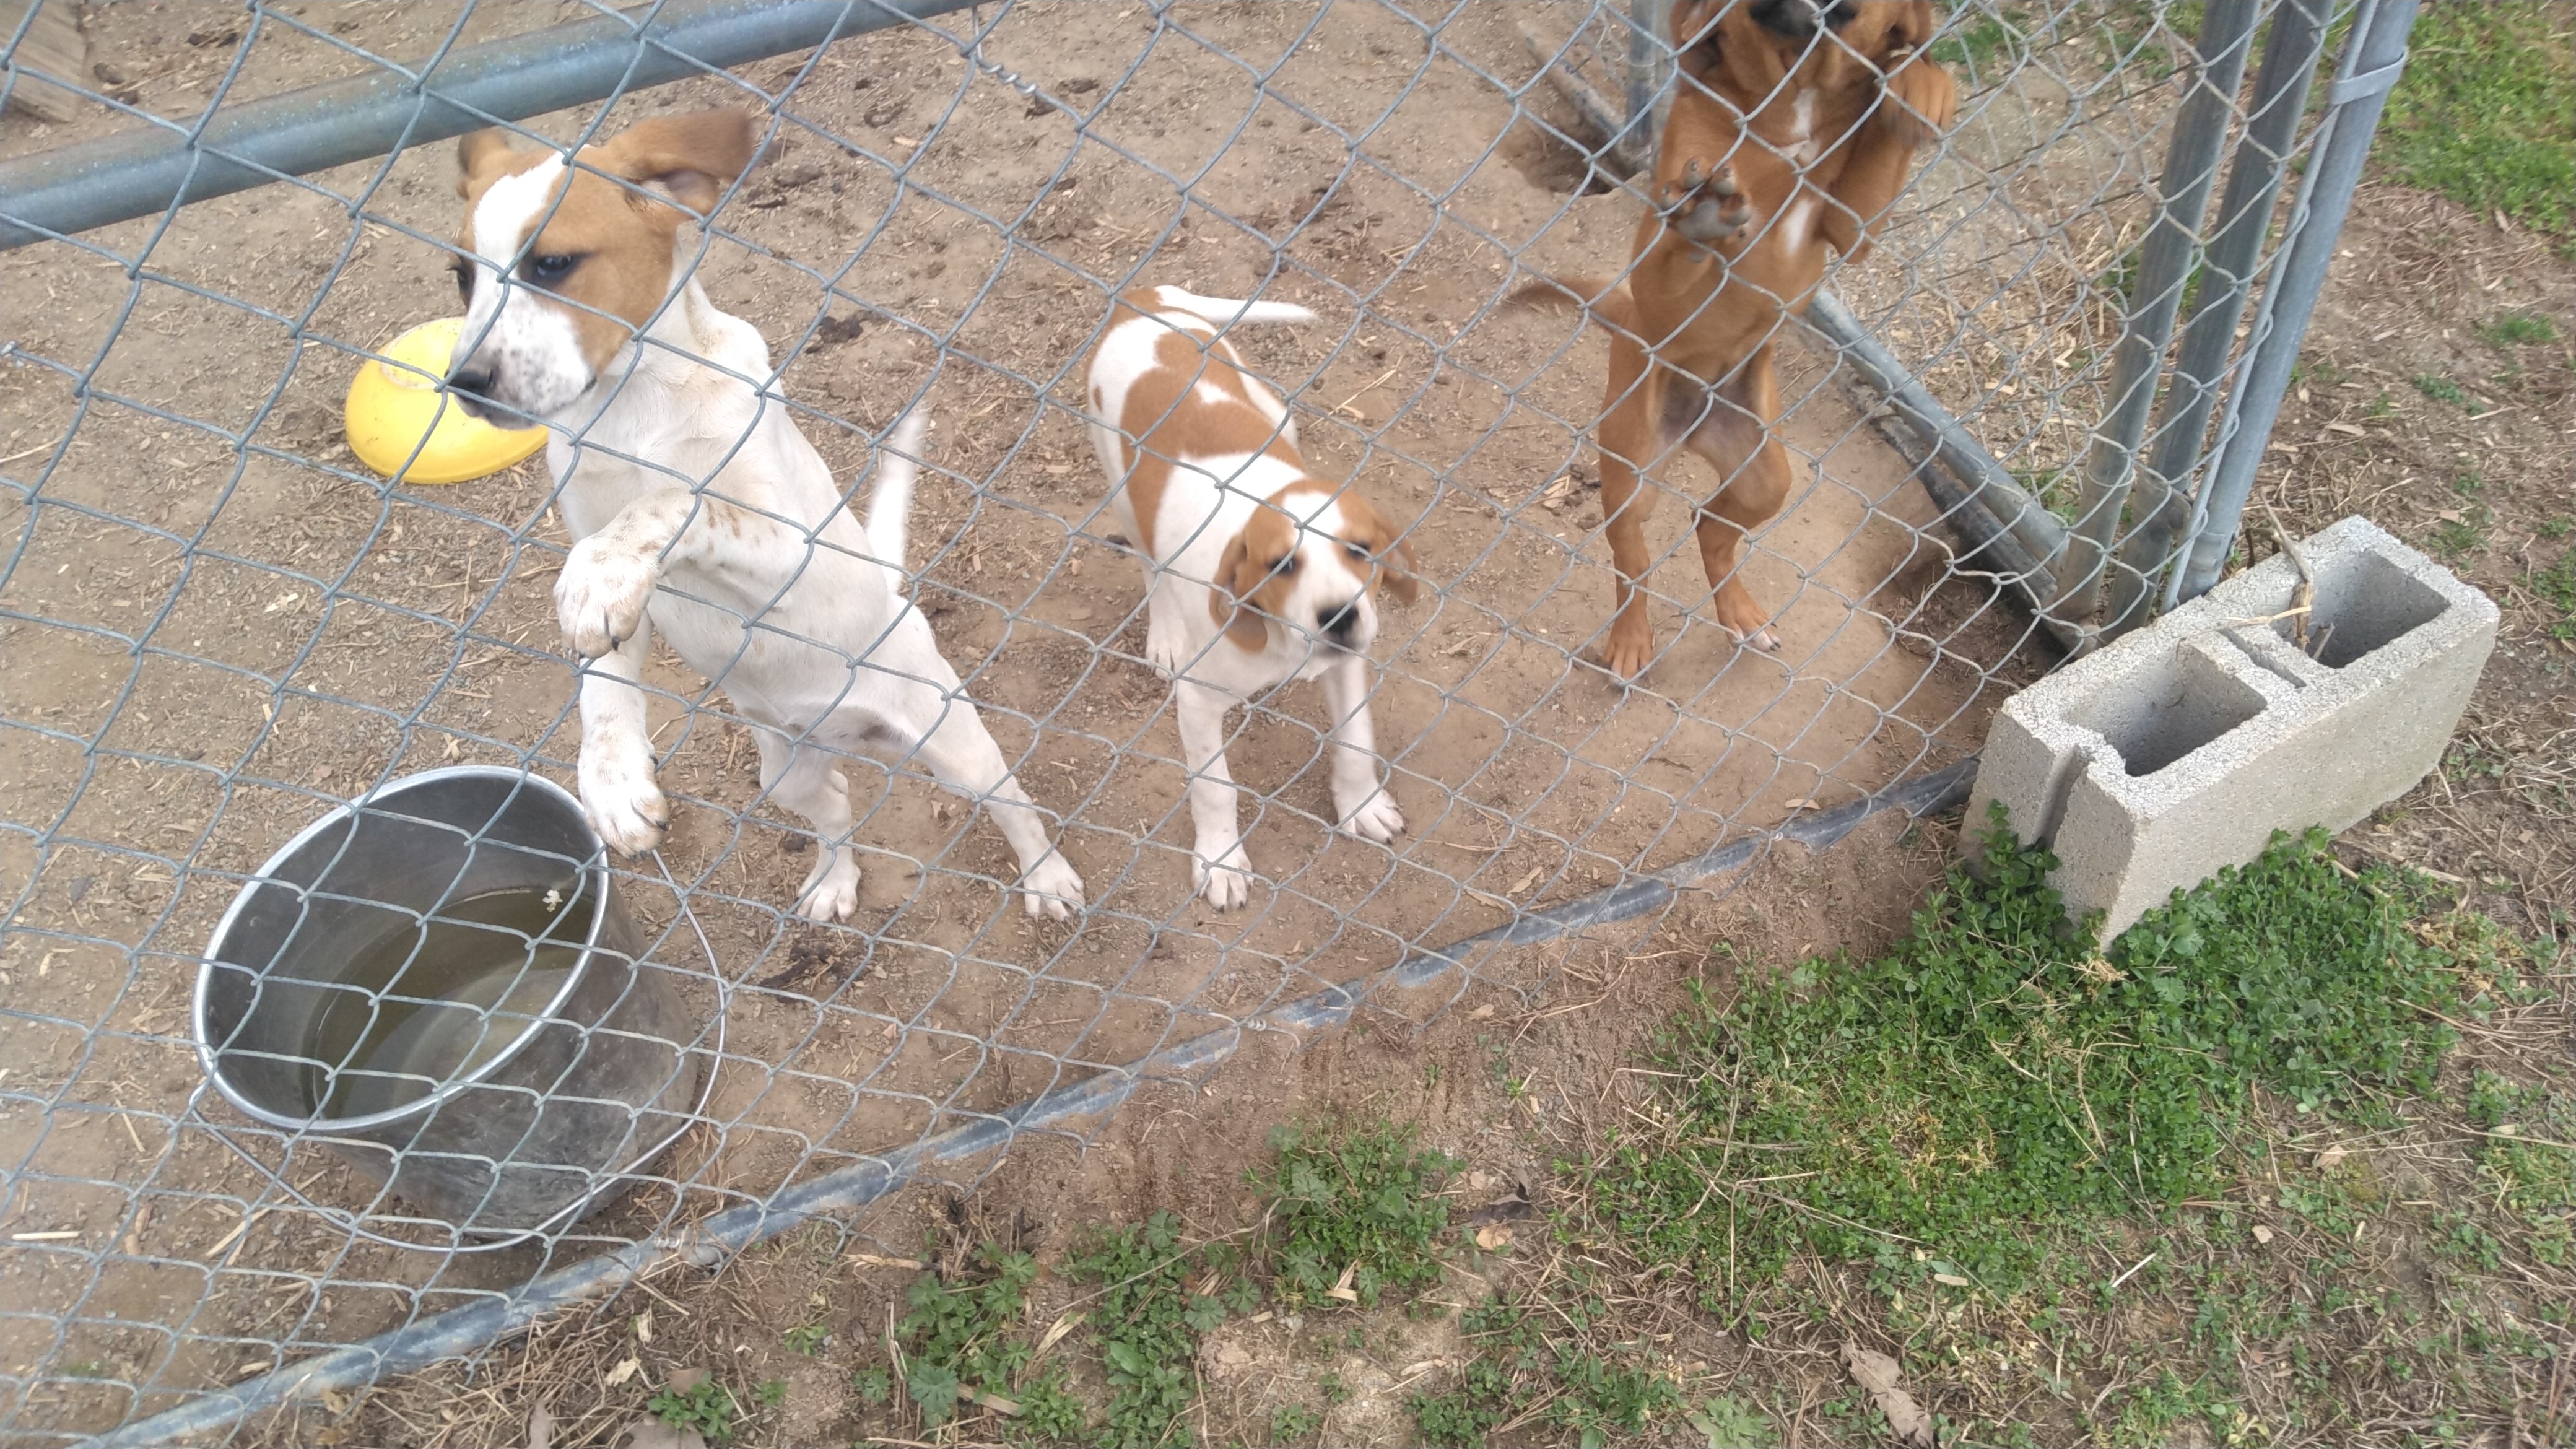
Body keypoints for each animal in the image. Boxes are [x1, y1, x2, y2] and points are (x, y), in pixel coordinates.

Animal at [444, 109, 1084, 922]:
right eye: (462, 276)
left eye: (552, 264)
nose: (464, 383)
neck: (632, 407)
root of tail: (845, 734)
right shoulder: (598, 544)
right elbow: (603, 682)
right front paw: (613, 781)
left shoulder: (789, 545)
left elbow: (684, 499)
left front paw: (605, 569)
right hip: (787, 775)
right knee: (836, 809)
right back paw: (834, 882)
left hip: (955, 744)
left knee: (1014, 807)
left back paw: (1047, 879)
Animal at [1083, 285, 1421, 909]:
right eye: (1280, 566)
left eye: (1361, 550)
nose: (1340, 617)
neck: (1279, 640)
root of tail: (1145, 300)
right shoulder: (1197, 701)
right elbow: (1216, 787)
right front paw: (1221, 861)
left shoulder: (1348, 663)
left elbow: (1356, 738)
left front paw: (1361, 804)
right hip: (1121, 488)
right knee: (1149, 565)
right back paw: (1164, 634)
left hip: (1274, 411)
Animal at [1524, 0, 1955, 677]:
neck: (1791, 101)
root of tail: (1693, 426)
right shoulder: (1656, 273)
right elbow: (1680, 246)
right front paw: (1703, 217)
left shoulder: (1852, 228)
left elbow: (1878, 163)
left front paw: (1919, 83)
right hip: (1631, 466)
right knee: (1632, 556)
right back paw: (1630, 639)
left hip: (1761, 472)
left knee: (1709, 524)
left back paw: (1742, 615)